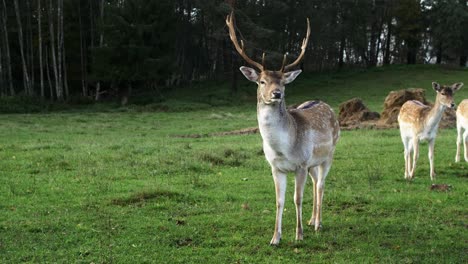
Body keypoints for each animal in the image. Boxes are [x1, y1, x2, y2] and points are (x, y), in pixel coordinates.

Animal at [227, 11, 340, 244]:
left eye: (283, 83)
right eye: (262, 81)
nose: (277, 93)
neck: (283, 148)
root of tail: (325, 104)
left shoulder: (300, 164)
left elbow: (297, 199)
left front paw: (298, 235)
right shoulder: (276, 167)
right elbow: (279, 201)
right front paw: (275, 238)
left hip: (328, 155)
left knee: (321, 185)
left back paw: (318, 223)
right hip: (313, 164)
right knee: (316, 183)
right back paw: (312, 220)